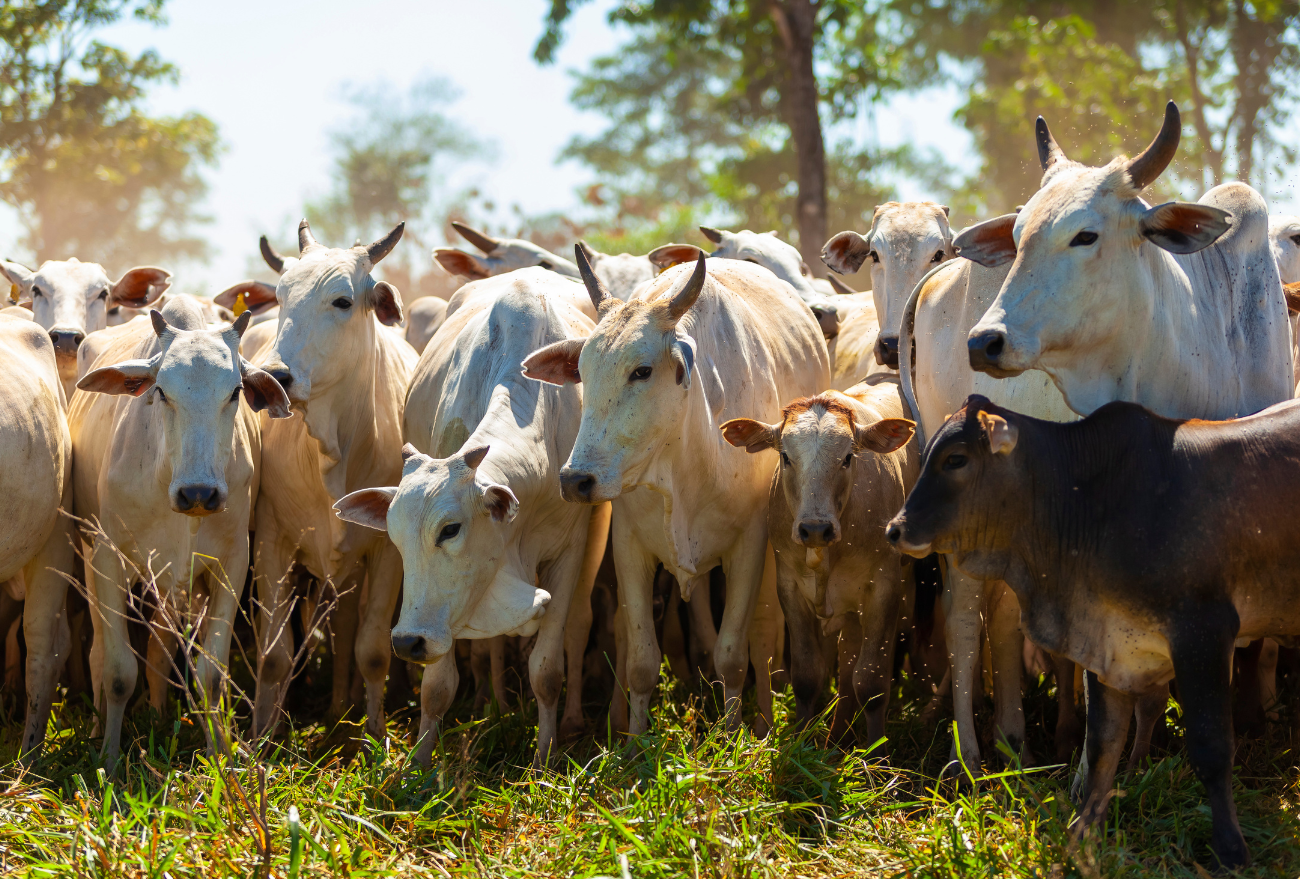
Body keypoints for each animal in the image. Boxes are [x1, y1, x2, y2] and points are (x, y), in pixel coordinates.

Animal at [71, 299, 289, 764]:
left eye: (235, 392)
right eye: (160, 392)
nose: (199, 493)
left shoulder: (232, 564)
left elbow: (210, 674)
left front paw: (221, 754)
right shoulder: (107, 558)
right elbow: (118, 671)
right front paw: (108, 761)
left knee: (158, 649)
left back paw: (157, 716)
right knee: (99, 652)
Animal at [248, 218, 416, 733]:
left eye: (342, 300)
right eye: (281, 295)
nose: (270, 379)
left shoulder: (386, 552)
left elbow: (374, 651)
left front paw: (376, 737)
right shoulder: (272, 541)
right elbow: (274, 658)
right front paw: (261, 736)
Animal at [332, 271, 600, 764]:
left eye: (450, 529)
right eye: (396, 539)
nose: (406, 642)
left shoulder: (568, 553)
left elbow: (547, 671)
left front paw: (545, 758)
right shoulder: (443, 614)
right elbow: (437, 687)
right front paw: (419, 763)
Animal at [514, 252, 821, 733]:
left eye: (641, 371)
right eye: (581, 372)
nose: (575, 480)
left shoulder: (749, 547)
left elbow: (733, 656)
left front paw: (732, 736)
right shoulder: (629, 546)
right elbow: (641, 659)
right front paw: (634, 738)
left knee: (764, 632)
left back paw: (764, 722)